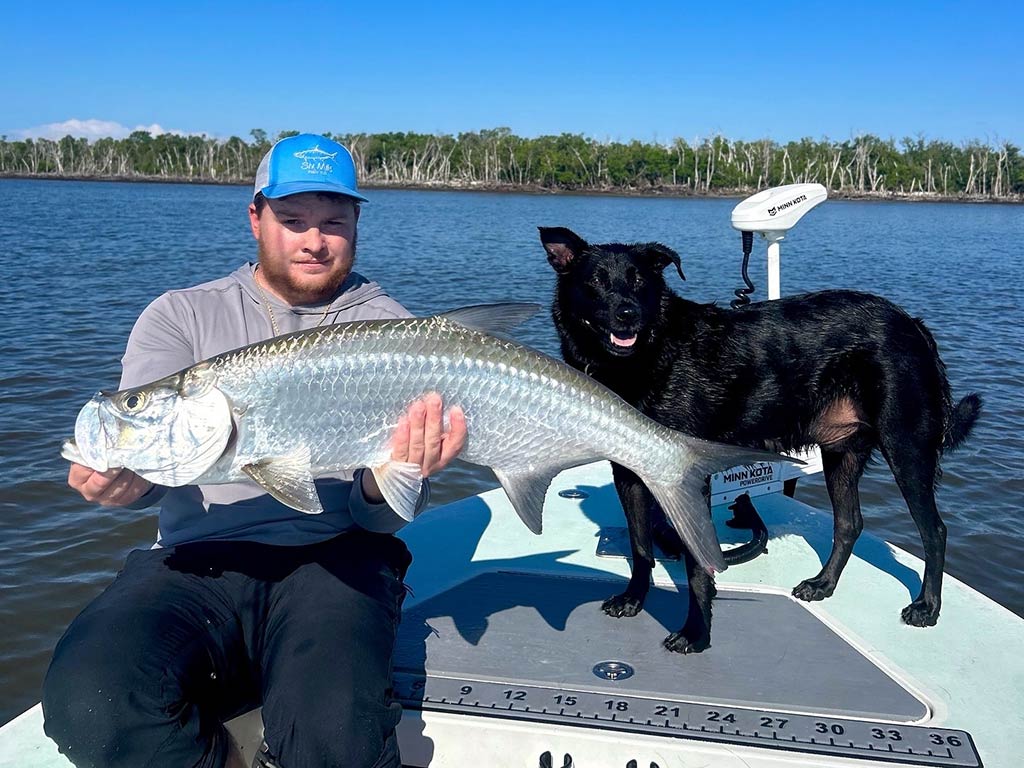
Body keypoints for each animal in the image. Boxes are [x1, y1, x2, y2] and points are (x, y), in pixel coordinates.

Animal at [540, 227, 978, 655]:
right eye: (595, 281)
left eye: (640, 281)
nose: (628, 314)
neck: (650, 354)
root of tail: (913, 323)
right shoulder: (628, 472)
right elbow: (640, 545)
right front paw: (633, 599)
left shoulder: (688, 476)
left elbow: (696, 565)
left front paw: (696, 634)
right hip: (842, 452)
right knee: (849, 523)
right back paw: (823, 585)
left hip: (906, 445)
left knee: (934, 531)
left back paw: (927, 606)